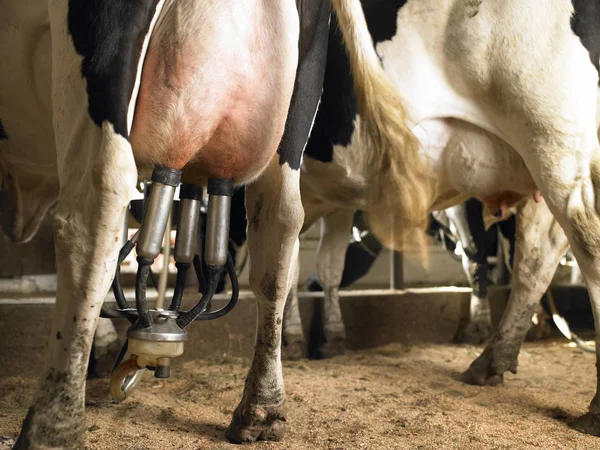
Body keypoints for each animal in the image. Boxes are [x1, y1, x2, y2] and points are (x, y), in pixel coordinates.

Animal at [0, 0, 422, 446]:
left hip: (99, 53)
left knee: (96, 206)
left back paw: (53, 426)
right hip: (298, 101)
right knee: (279, 229)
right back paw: (261, 410)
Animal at [282, 0, 600, 436]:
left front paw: (292, 340)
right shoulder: (332, 199)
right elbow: (319, 263)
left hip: (555, 143)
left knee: (587, 250)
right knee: (537, 259)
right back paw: (490, 362)